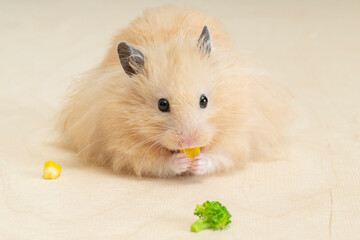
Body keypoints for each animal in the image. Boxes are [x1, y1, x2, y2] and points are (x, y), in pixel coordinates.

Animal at [59, 6, 290, 177]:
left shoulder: (239, 130)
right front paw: (181, 161)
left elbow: (221, 154)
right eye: (162, 105)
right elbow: (155, 161)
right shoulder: (123, 142)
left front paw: (197, 162)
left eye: (204, 100)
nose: (190, 142)